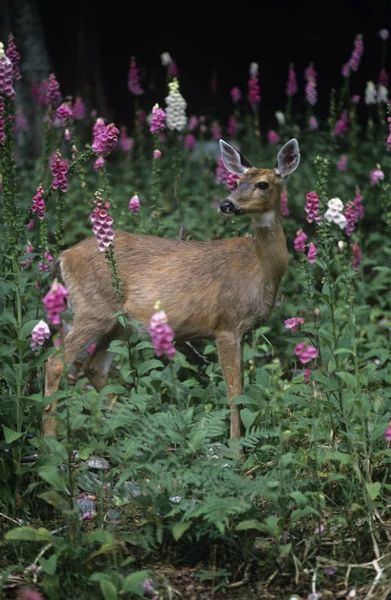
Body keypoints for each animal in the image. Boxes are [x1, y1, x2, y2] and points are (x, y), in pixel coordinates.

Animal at [43, 139, 300, 440]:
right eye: (236, 181)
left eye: (262, 184)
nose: (226, 204)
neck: (260, 268)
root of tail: (64, 256)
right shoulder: (225, 324)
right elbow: (234, 392)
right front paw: (235, 444)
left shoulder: (239, 330)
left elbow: (240, 388)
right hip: (93, 309)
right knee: (55, 362)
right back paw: (50, 440)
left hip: (119, 323)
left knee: (93, 366)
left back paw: (129, 424)